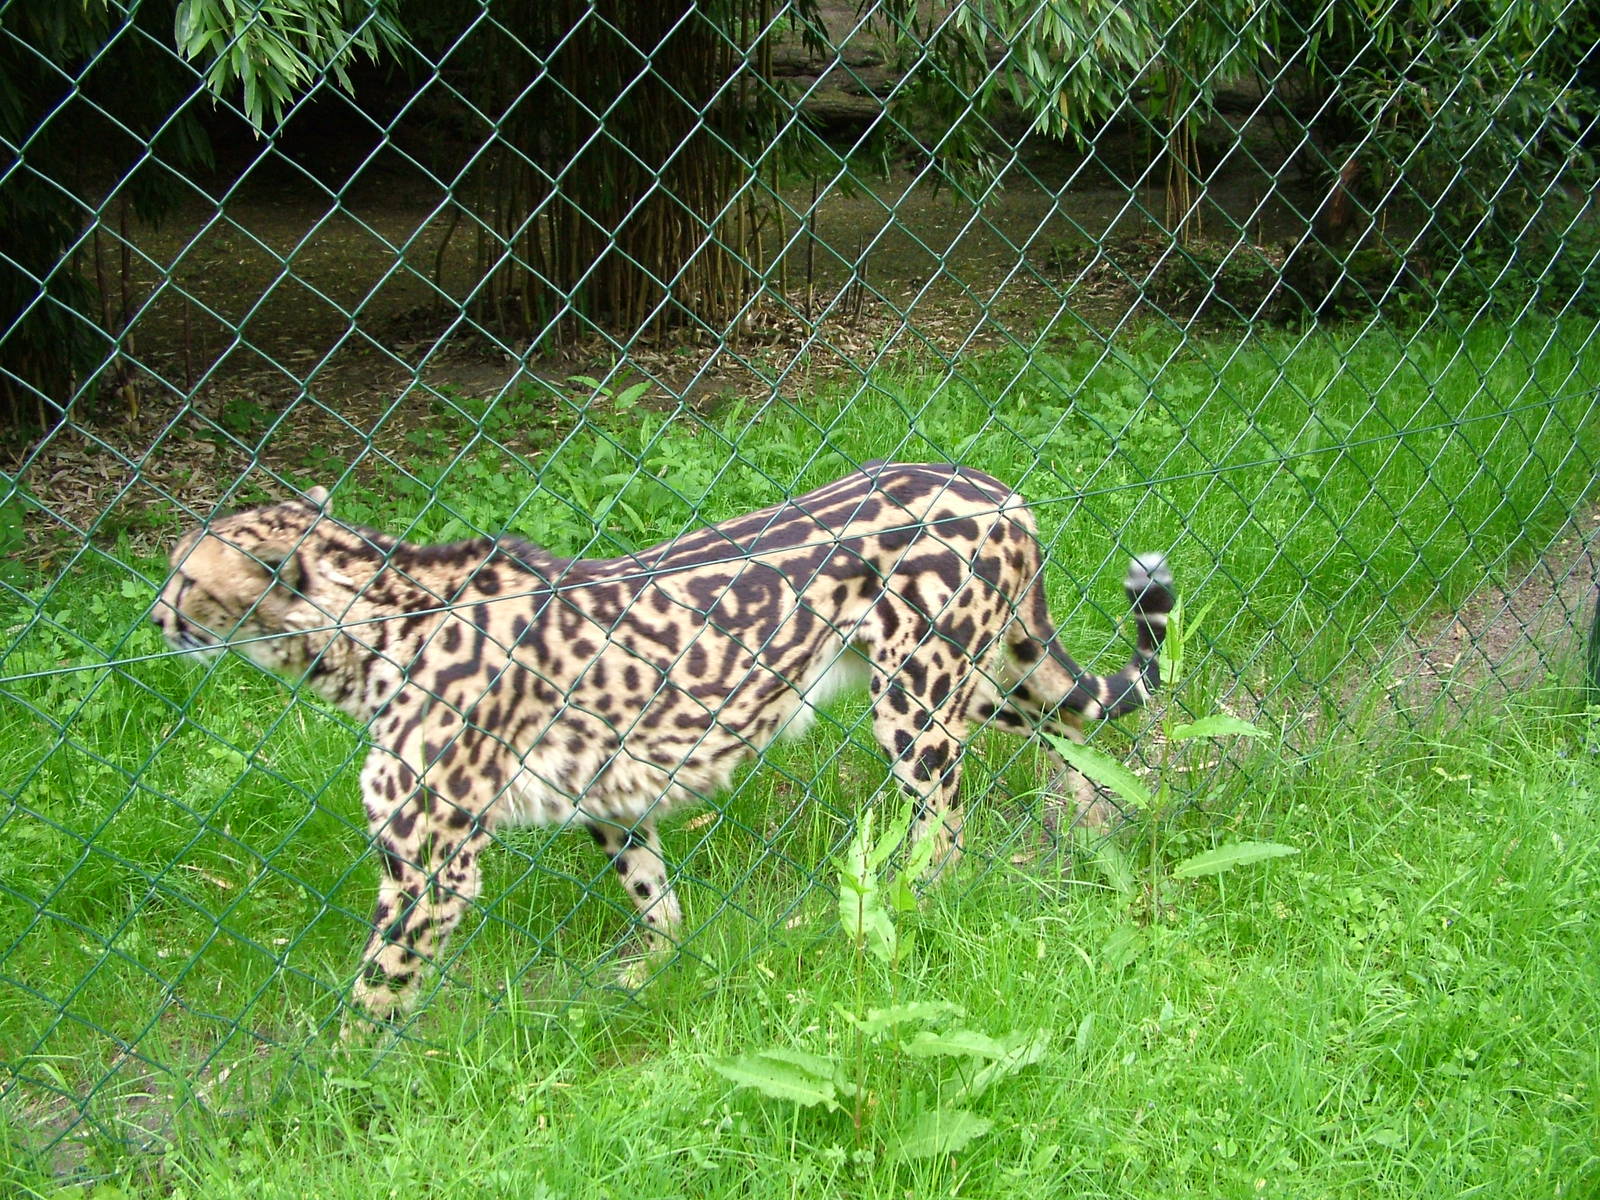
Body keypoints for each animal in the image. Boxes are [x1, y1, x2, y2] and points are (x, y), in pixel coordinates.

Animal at [152, 461, 1174, 1019]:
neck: (374, 627)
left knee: (949, 825)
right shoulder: (607, 793)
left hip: (915, 701)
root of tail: (995, 487)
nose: (156, 613)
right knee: (1060, 719)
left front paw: (352, 1078)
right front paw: (657, 972)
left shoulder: (430, 867)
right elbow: (655, 898)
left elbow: (375, 989)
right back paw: (1097, 820)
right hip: (954, 680)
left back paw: (918, 903)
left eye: (184, 575)